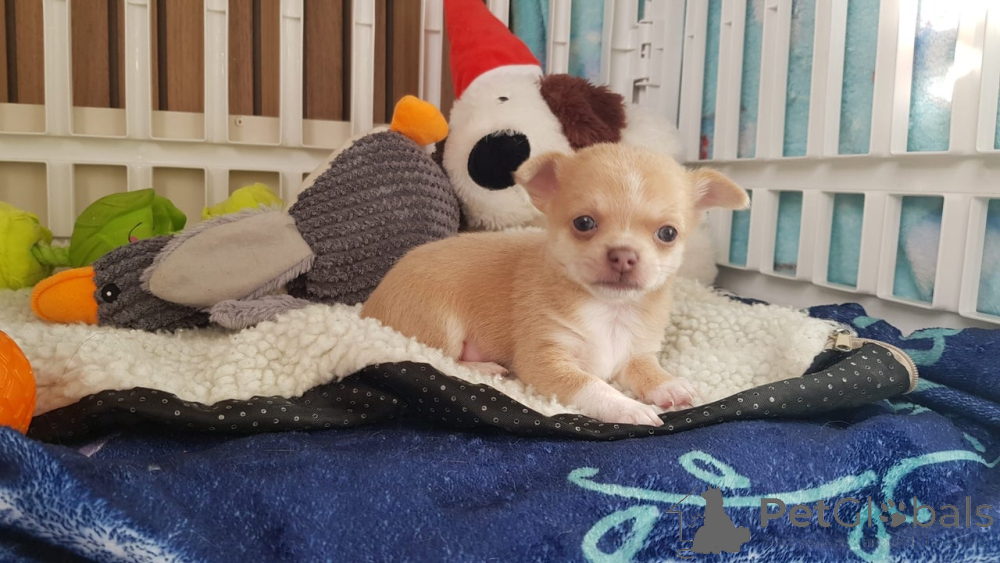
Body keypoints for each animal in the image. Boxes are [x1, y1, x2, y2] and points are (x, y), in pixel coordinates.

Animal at [360, 143, 749, 426]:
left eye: (667, 233)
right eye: (584, 223)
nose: (624, 255)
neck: (609, 310)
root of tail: (369, 304)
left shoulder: (635, 354)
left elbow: (648, 370)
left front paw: (669, 384)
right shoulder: (545, 360)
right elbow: (591, 384)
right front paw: (627, 407)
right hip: (439, 326)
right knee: (440, 358)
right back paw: (486, 367)